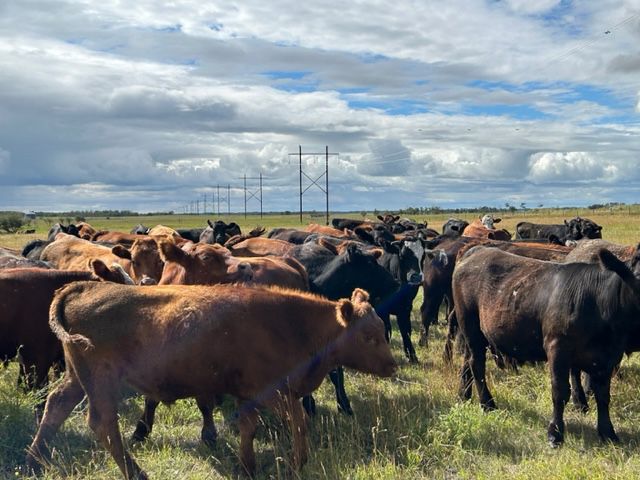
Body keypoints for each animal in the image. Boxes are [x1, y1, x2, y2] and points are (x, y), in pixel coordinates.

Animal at [27, 283, 396, 478]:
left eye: (382, 330)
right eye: (368, 336)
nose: (392, 366)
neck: (290, 323)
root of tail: (85, 285)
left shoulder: (249, 395)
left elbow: (249, 428)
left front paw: (248, 465)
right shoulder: (274, 392)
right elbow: (299, 422)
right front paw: (296, 463)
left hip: (77, 378)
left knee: (56, 406)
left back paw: (34, 460)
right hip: (101, 382)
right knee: (103, 424)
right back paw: (136, 472)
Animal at [452, 244, 640, 446]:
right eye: (638, 279)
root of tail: (477, 250)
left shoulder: (607, 357)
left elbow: (603, 395)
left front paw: (608, 433)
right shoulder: (557, 347)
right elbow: (560, 391)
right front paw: (555, 432)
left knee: (467, 360)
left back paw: (464, 395)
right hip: (470, 325)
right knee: (476, 364)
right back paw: (487, 404)